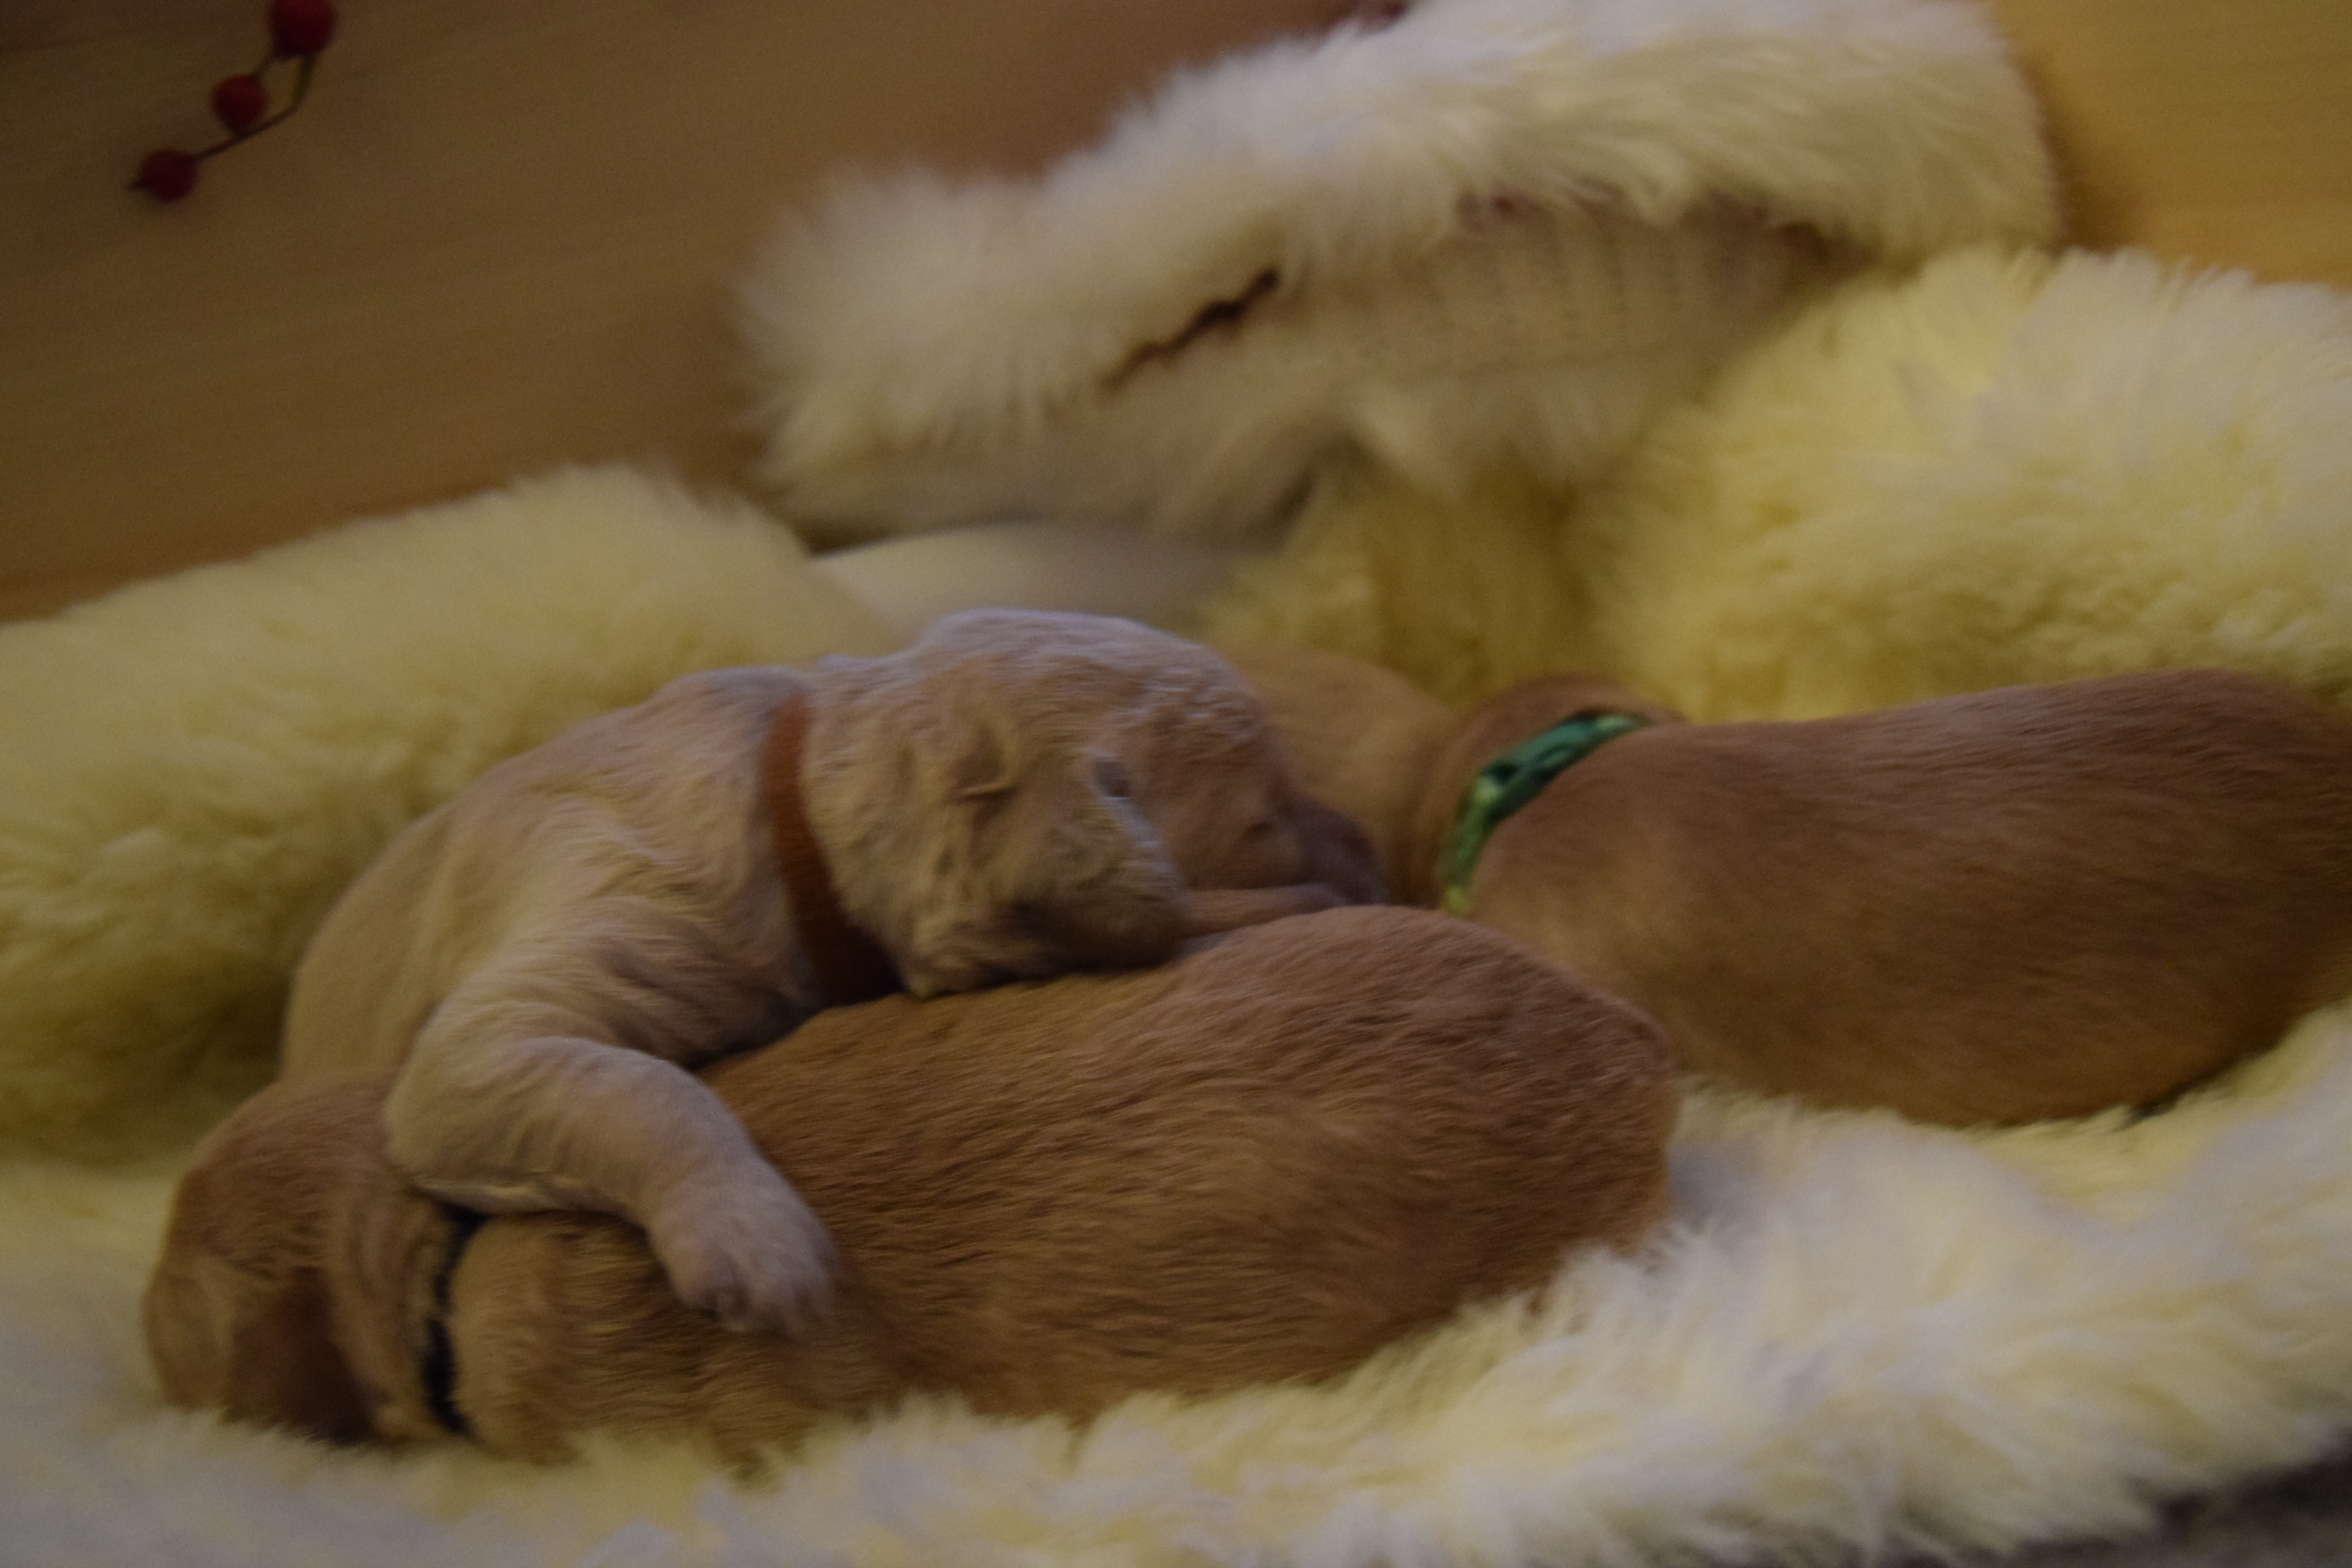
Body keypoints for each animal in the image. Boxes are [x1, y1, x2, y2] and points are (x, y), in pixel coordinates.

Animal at [280, 611, 1374, 1335]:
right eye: (1267, 820)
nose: (1373, 846)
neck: (791, 801)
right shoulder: (538, 985)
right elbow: (643, 1086)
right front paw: (758, 1237)